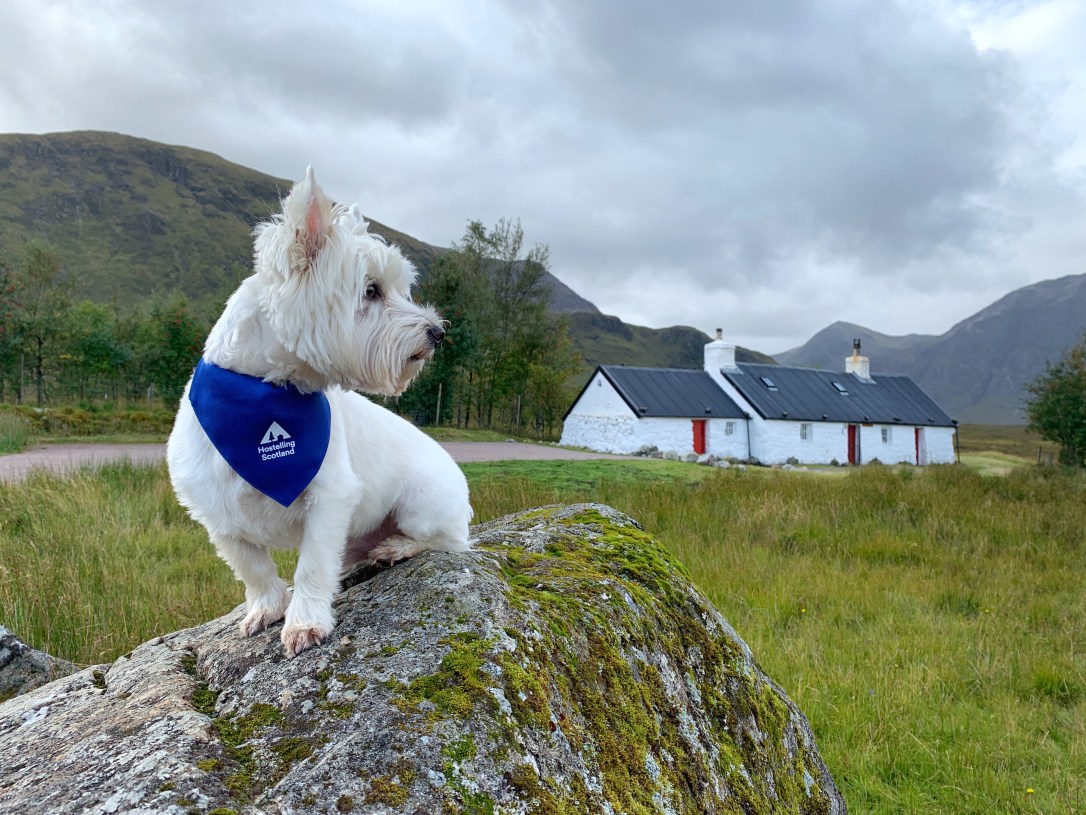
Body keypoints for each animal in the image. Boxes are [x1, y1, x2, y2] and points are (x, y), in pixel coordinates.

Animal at [168, 169, 471, 660]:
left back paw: (395, 548)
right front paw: (266, 608)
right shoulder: (217, 513)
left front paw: (304, 622)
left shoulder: (330, 498)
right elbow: (252, 568)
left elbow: (311, 565)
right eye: (371, 290)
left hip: (421, 505)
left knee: (449, 541)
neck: (269, 394)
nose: (438, 332)